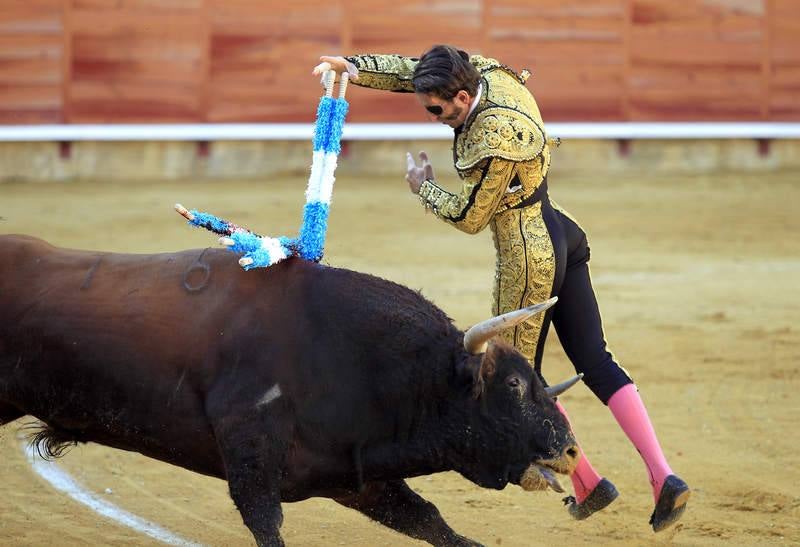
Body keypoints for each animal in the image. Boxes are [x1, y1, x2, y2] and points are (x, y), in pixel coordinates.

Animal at [0, 235, 580, 547]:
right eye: (512, 384)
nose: (572, 452)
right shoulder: (251, 457)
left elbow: (430, 521)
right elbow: (267, 525)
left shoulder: (356, 475)